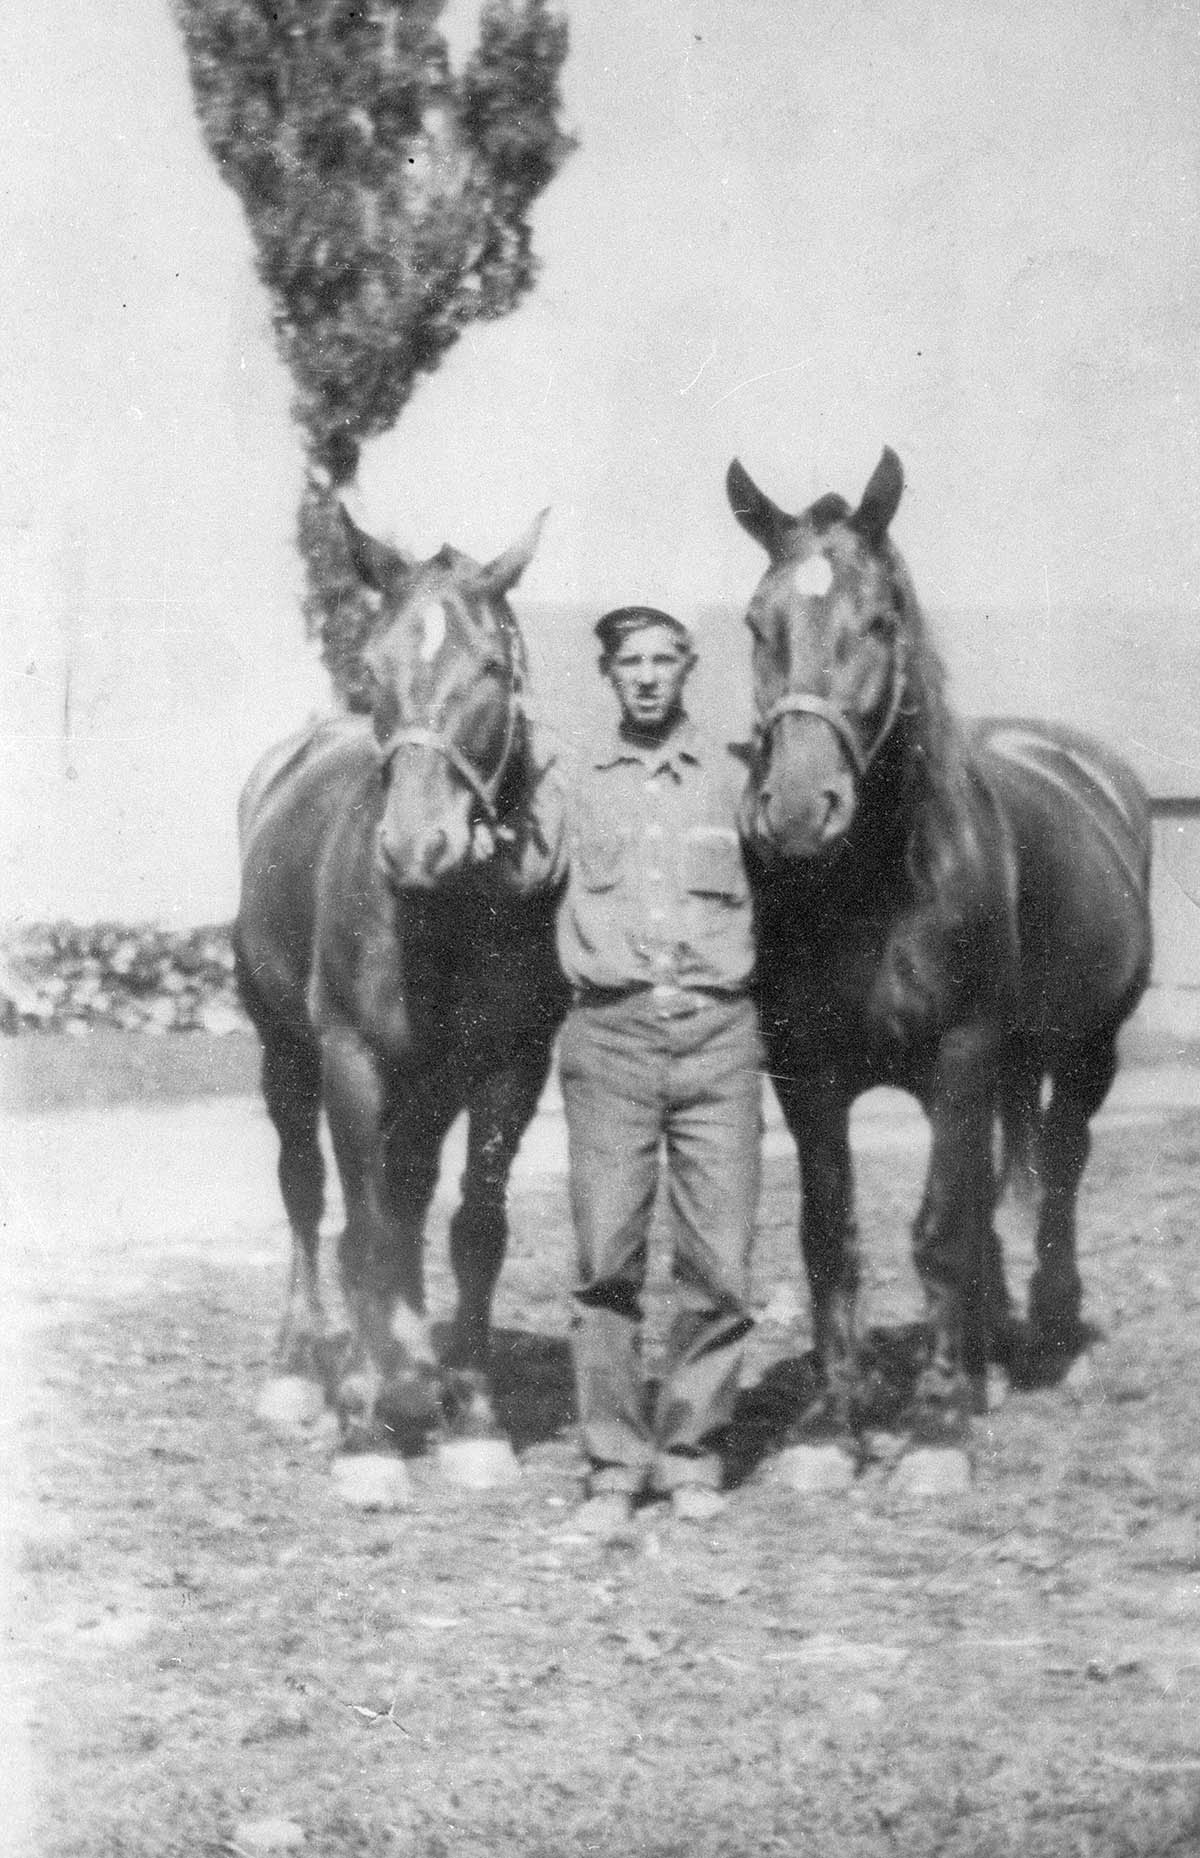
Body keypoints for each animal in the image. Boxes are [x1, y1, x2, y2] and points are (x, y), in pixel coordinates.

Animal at [237, 509, 572, 1464]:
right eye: (372, 666)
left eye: (491, 667)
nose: (416, 845)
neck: (444, 913)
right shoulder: (350, 1058)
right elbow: (359, 1227)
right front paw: (362, 1426)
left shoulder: (510, 1067)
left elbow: (475, 1228)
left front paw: (473, 1414)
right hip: (285, 1052)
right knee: (306, 1186)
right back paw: (300, 1368)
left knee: (413, 1189)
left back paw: (415, 1367)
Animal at [724, 449, 1159, 1478]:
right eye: (757, 623)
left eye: (881, 621)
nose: (796, 811)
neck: (878, 886)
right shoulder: (806, 1076)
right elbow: (831, 1236)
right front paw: (831, 1421)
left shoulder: (959, 1057)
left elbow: (939, 1230)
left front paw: (936, 1419)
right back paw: (990, 1342)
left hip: (1087, 1051)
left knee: (1061, 1166)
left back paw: (1047, 1334)